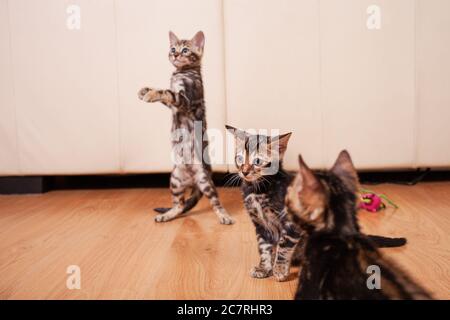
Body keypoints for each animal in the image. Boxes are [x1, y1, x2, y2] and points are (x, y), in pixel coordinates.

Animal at [138, 30, 234, 225]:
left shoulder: (184, 99)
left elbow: (165, 92)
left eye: (185, 50)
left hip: (204, 180)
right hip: (175, 180)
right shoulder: (174, 104)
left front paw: (151, 94)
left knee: (215, 201)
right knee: (180, 205)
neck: (183, 72)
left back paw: (224, 216)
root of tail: (192, 182)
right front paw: (145, 90)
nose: (175, 55)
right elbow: (165, 92)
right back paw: (167, 215)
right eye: (172, 49)